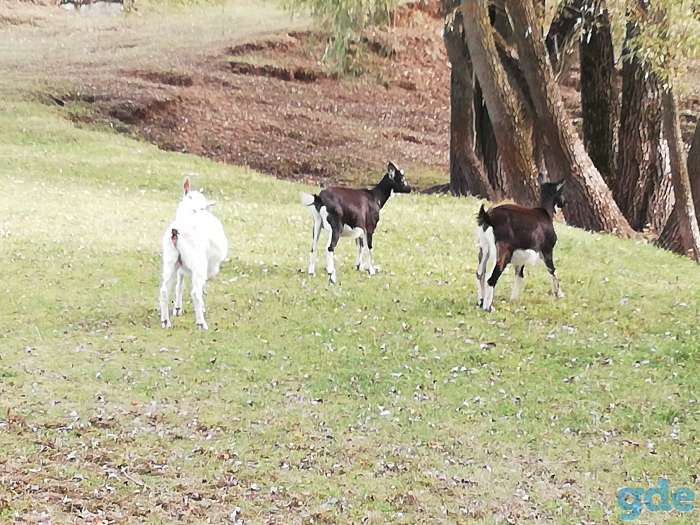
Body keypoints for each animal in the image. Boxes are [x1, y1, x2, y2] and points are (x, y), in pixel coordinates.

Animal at [159, 177, 228, 329]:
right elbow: (200, 288)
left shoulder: (181, 265)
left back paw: (166, 321)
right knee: (195, 292)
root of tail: (176, 232)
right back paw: (201, 324)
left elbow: (180, 283)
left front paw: (177, 309)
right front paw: (201, 308)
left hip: (170, 260)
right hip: (198, 262)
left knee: (165, 289)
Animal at [476, 176, 566, 311]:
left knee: (480, 273)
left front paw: (513, 299)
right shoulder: (547, 250)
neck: (545, 213)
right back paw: (488, 308)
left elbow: (519, 274)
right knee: (491, 277)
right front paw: (559, 294)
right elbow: (553, 270)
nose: (564, 203)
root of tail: (488, 217)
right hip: (502, 253)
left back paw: (480, 302)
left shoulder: (521, 257)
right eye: (561, 193)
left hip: (484, 249)